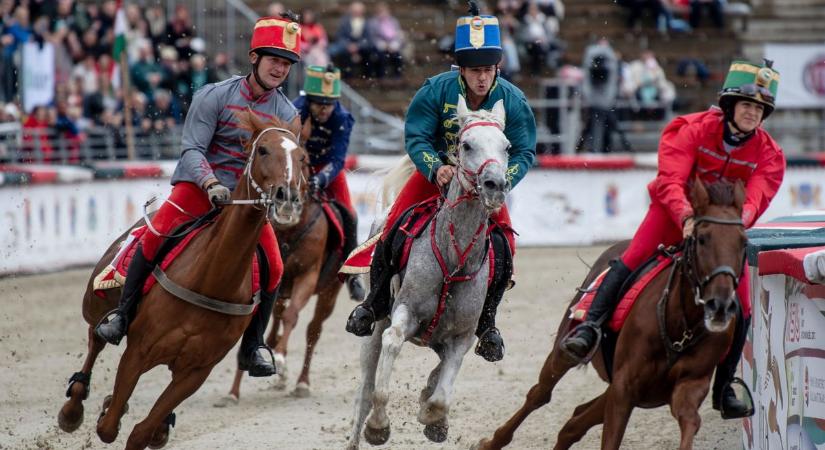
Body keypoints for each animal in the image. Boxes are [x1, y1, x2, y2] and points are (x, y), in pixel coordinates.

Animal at [56, 110, 304, 450]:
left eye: (302, 156)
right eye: (264, 150)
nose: (287, 198)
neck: (211, 279)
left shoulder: (195, 371)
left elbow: (141, 431)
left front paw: (150, 424)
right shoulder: (138, 350)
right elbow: (109, 425)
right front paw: (106, 409)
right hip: (97, 306)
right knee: (96, 340)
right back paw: (73, 409)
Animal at [346, 96, 508, 450]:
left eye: (506, 146)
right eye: (465, 144)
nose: (495, 185)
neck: (453, 257)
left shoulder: (461, 336)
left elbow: (442, 394)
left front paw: (434, 420)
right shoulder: (403, 314)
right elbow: (390, 353)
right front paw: (378, 426)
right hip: (373, 327)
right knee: (364, 390)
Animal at [474, 179, 748, 450]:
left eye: (743, 242)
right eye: (702, 239)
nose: (720, 304)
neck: (680, 327)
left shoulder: (687, 387)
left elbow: (690, 421)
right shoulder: (624, 388)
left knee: (574, 422)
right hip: (566, 349)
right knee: (540, 394)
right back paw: (491, 442)